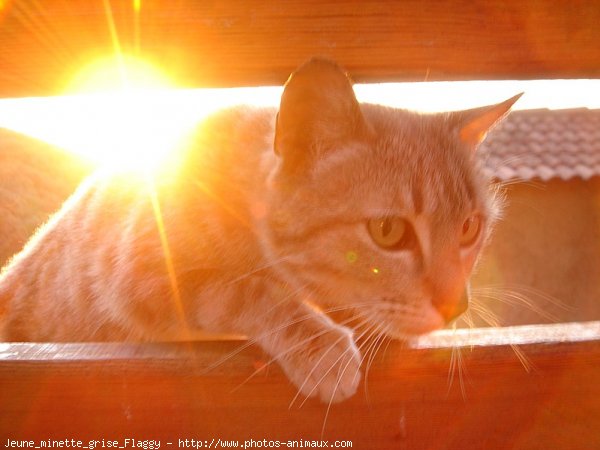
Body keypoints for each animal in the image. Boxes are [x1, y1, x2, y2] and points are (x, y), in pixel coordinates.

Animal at [0, 57, 520, 404]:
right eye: (389, 231)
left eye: (470, 228)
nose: (456, 305)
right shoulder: (142, 272)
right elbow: (252, 289)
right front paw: (321, 346)